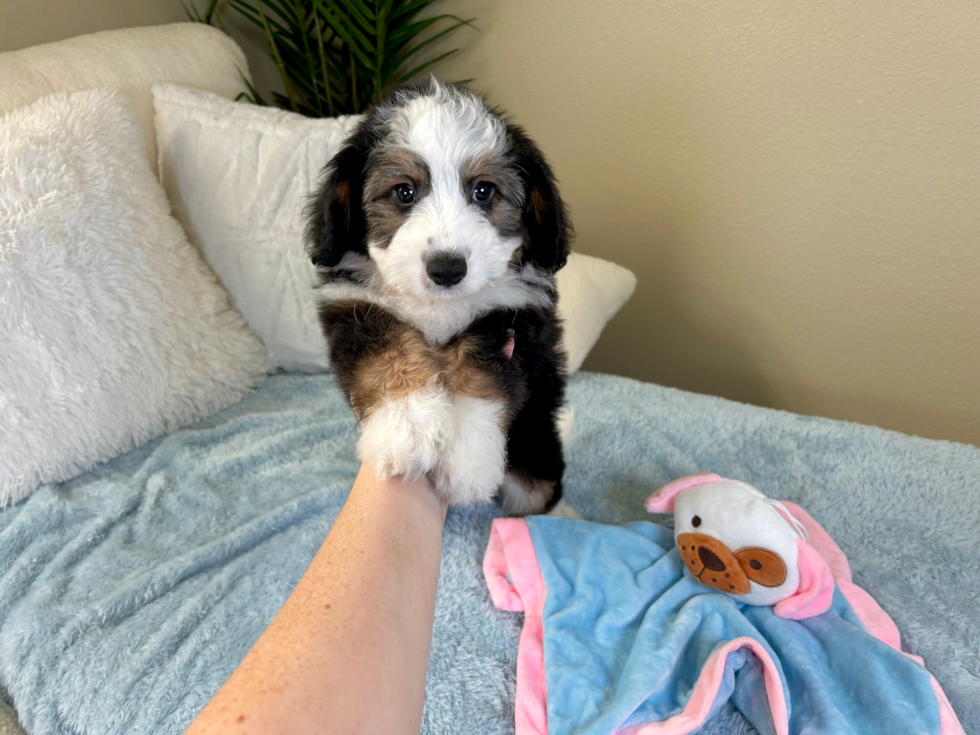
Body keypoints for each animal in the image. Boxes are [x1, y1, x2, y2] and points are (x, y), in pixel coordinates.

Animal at [304, 77, 568, 516]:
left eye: (483, 191)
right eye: (404, 192)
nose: (447, 268)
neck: (439, 308)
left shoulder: (514, 317)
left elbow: (484, 372)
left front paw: (467, 458)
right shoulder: (354, 307)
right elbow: (387, 354)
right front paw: (407, 427)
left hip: (535, 442)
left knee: (540, 490)